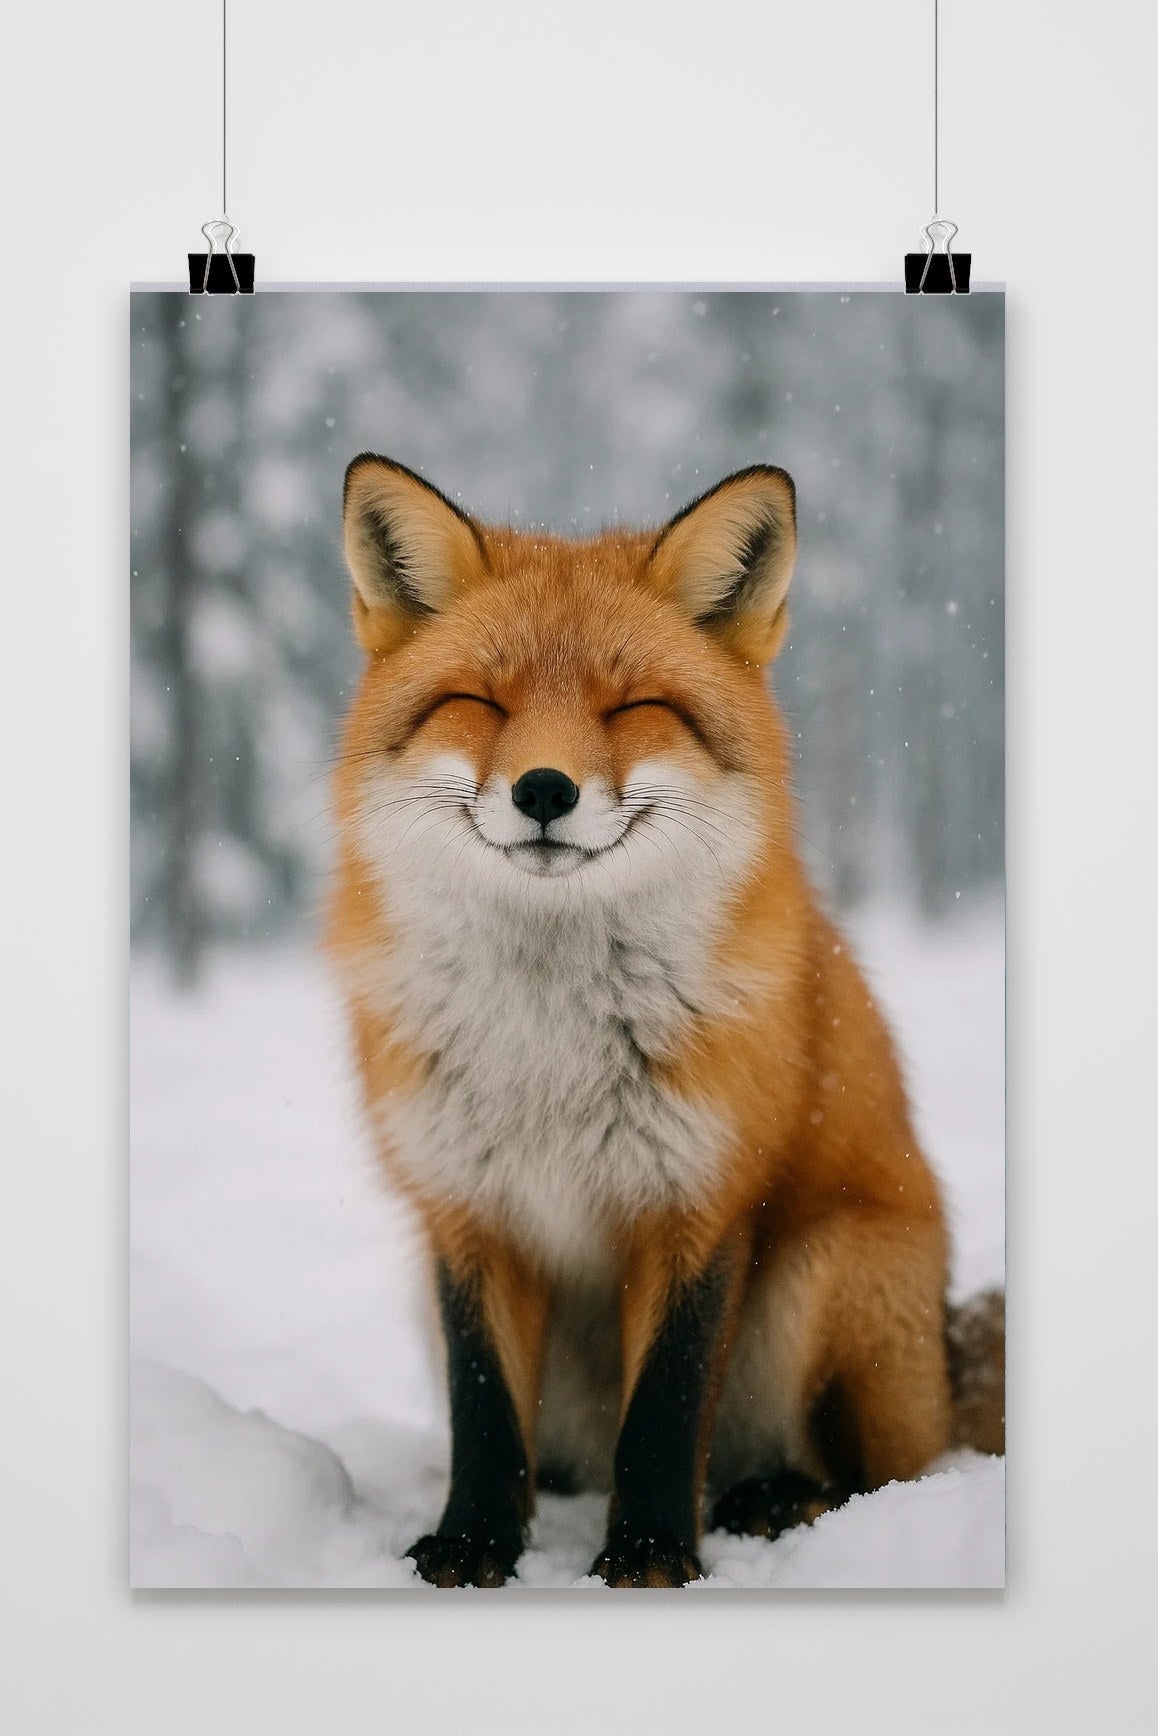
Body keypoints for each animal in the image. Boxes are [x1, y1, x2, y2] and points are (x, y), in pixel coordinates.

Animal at [327, 453, 1005, 1589]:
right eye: (481, 702)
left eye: (631, 706)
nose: (543, 789)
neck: (550, 1041)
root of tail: (945, 1374)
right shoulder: (463, 1206)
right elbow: (483, 1408)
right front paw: (473, 1544)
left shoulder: (700, 1194)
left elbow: (665, 1408)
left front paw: (647, 1554)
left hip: (825, 1275)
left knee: (880, 1474)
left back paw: (773, 1499)